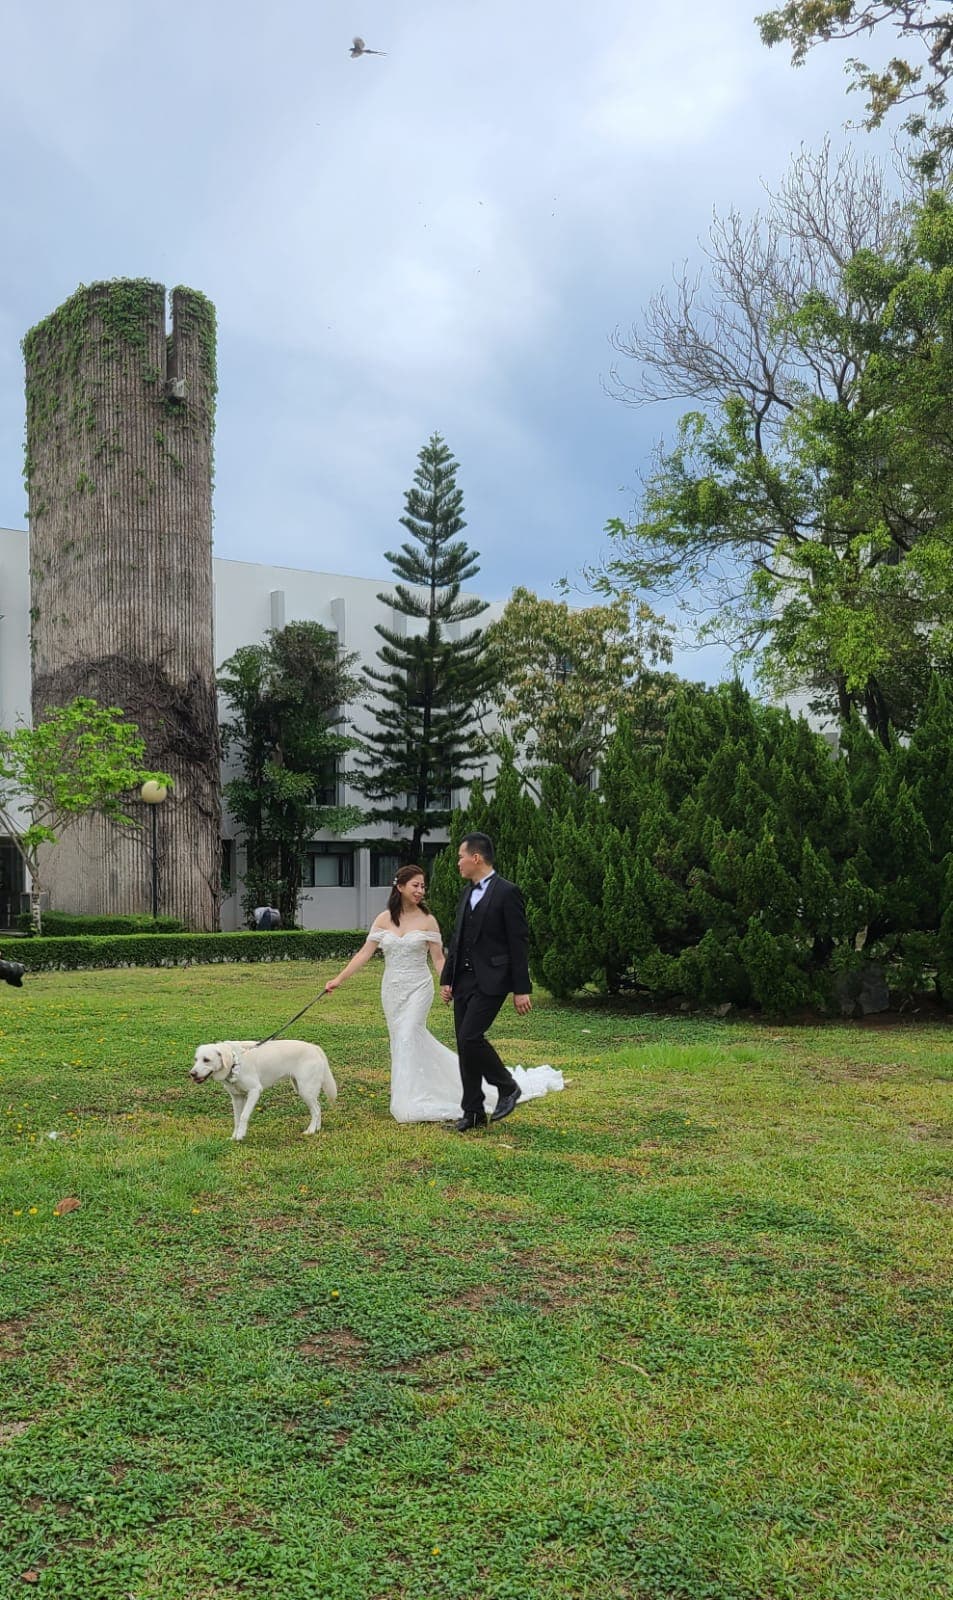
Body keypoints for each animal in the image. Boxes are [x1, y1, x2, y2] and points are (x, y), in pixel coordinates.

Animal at [188, 1043, 335, 1145]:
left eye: (206, 1060)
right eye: (196, 1059)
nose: (192, 1074)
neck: (234, 1062)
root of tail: (315, 1047)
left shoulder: (254, 1091)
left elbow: (243, 1116)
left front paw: (240, 1136)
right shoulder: (237, 1097)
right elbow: (236, 1119)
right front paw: (234, 1136)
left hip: (305, 1089)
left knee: (316, 1110)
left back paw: (310, 1131)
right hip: (302, 1089)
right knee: (318, 1107)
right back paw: (317, 1129)